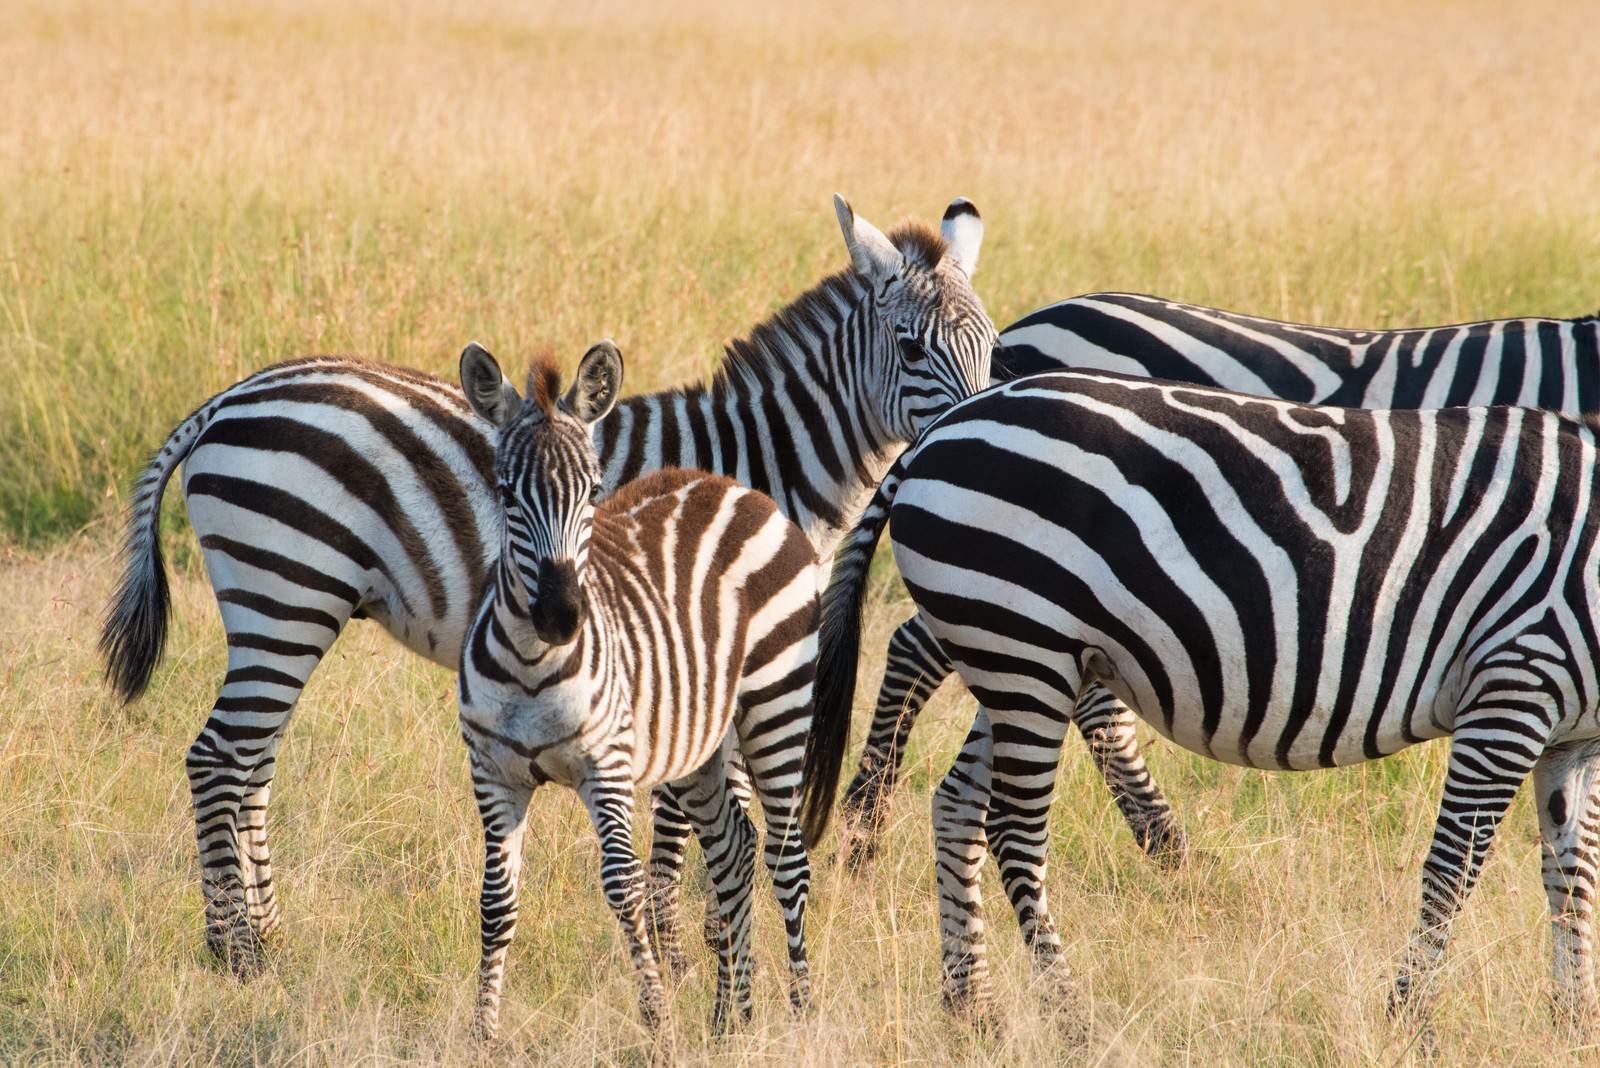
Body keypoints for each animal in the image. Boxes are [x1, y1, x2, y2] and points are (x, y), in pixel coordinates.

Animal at [93, 191, 992, 965]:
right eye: (911, 347)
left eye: (990, 346)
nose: (976, 430)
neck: (757, 463)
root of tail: (227, 399)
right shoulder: (693, 640)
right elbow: (681, 822)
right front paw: (679, 951)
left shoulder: (726, 657)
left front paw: (709, 945)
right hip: (285, 594)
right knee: (219, 758)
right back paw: (235, 953)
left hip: (280, 608)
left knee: (252, 764)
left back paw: (269, 936)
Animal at [454, 340, 844, 1036]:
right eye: (505, 493)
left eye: (593, 490)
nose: (561, 615)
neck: (531, 665)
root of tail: (735, 487)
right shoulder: (493, 773)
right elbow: (496, 904)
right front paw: (481, 1036)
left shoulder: (605, 767)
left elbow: (624, 887)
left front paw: (658, 1022)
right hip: (696, 743)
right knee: (735, 848)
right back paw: (731, 1020)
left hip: (776, 703)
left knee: (787, 858)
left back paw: (800, 1015)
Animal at [812, 367, 1600, 1036]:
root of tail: (942, 427)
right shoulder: (1513, 683)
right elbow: (1454, 869)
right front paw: (1407, 1020)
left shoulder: (1574, 738)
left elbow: (1573, 877)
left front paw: (1571, 1022)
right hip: (1021, 646)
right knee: (1013, 830)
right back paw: (1069, 1019)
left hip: (1024, 659)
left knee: (956, 806)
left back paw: (971, 1008)